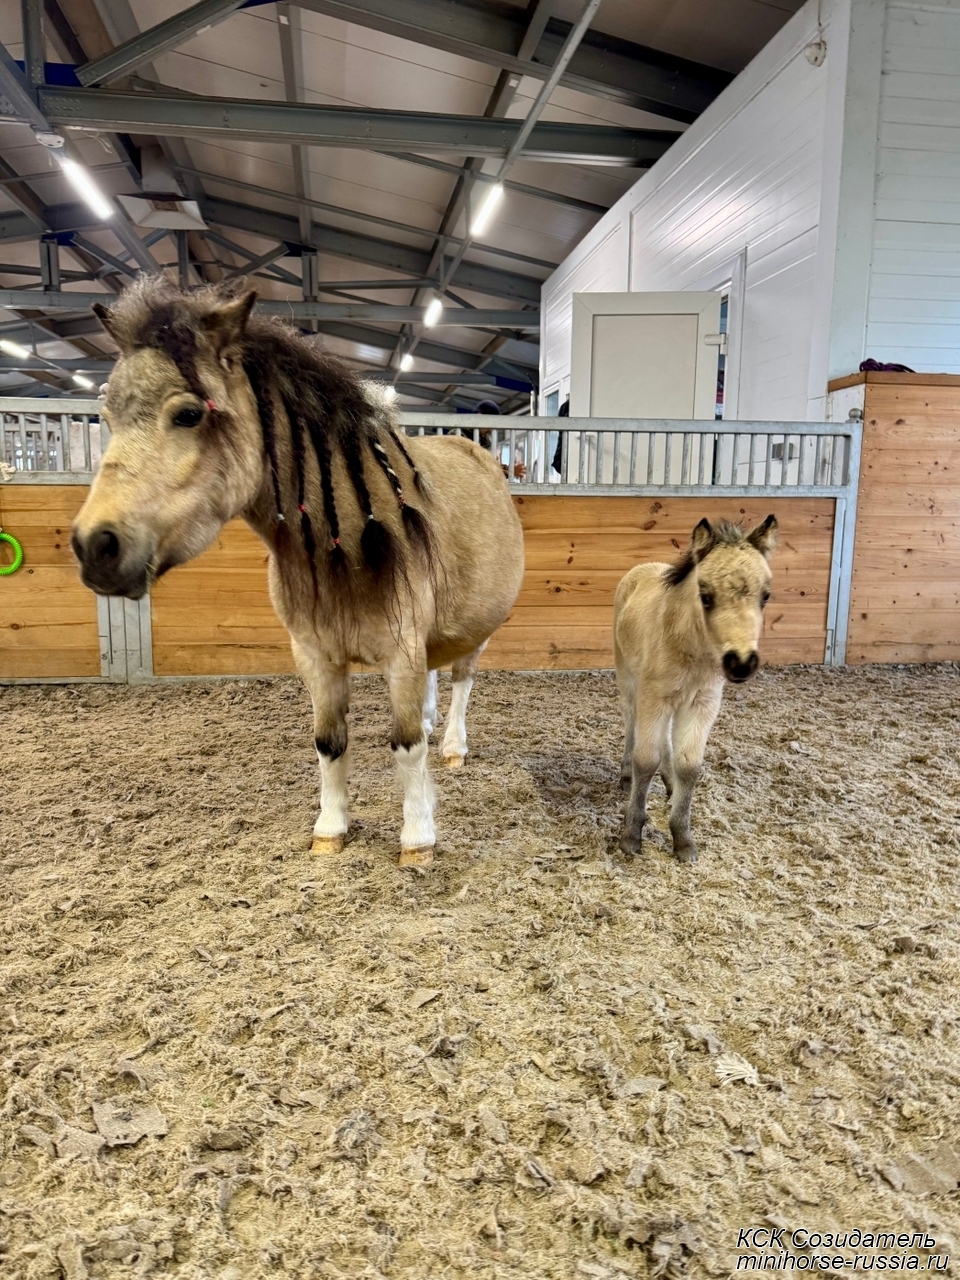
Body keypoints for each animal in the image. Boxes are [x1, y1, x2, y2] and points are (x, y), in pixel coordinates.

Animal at [70, 279, 525, 868]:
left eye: (189, 414)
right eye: (107, 419)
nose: (94, 546)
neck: (355, 533)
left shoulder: (401, 652)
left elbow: (406, 747)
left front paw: (417, 837)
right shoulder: (315, 655)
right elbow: (329, 744)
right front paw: (330, 829)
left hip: (475, 633)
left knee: (462, 683)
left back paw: (451, 746)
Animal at [614, 515, 778, 863]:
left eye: (766, 596)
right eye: (705, 595)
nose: (741, 662)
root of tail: (643, 568)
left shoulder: (702, 703)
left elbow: (689, 766)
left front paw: (683, 839)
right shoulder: (654, 697)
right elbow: (645, 759)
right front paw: (631, 834)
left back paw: (669, 783)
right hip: (629, 680)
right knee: (631, 723)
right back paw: (625, 776)